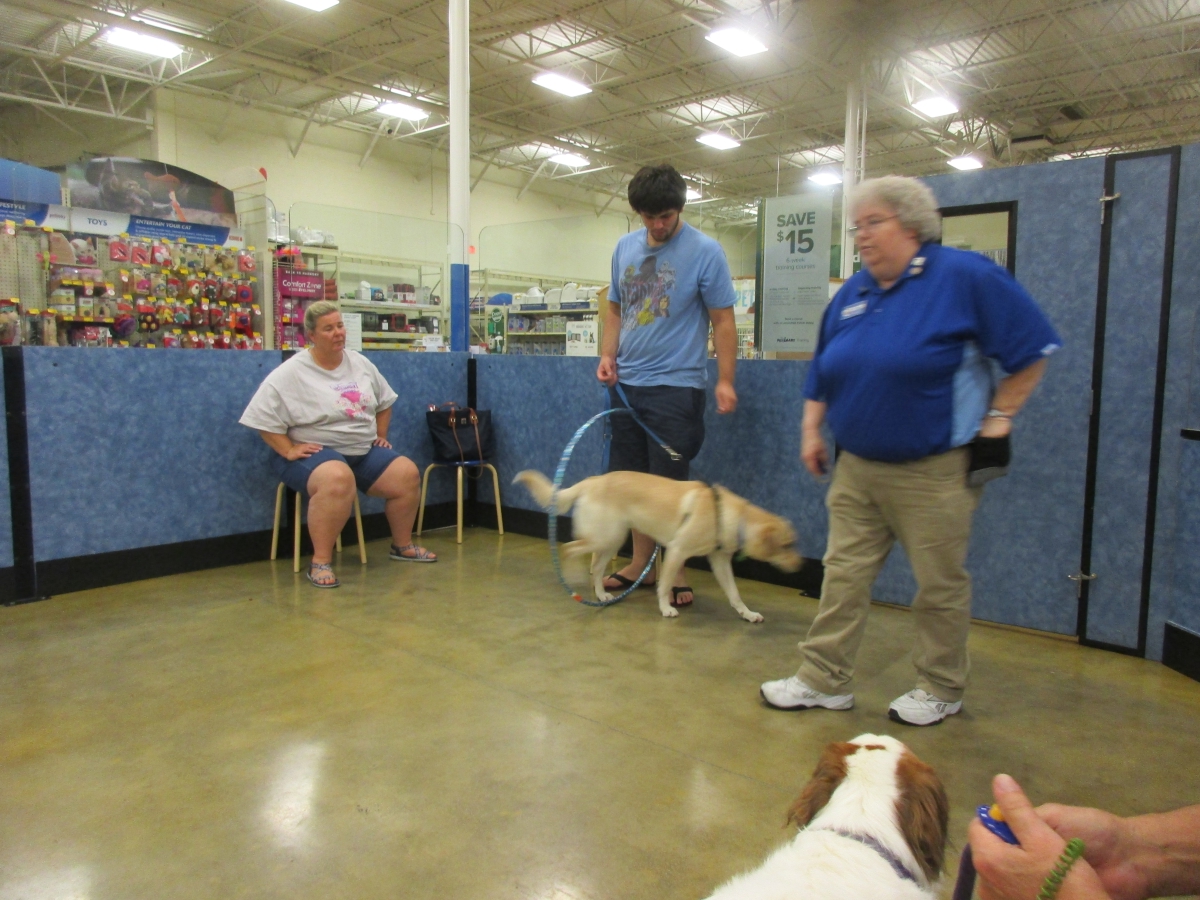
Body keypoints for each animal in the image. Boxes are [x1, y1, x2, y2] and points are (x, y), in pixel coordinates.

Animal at [514, 470, 801, 621]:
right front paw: (665, 608)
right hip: (604, 537)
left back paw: (602, 594)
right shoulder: (676, 551)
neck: (734, 516)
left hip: (613, 540)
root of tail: (593, 480)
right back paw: (573, 575)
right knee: (569, 549)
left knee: (596, 566)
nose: (800, 565)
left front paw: (747, 614)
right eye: (786, 545)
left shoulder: (720, 562)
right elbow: (664, 586)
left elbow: (734, 593)